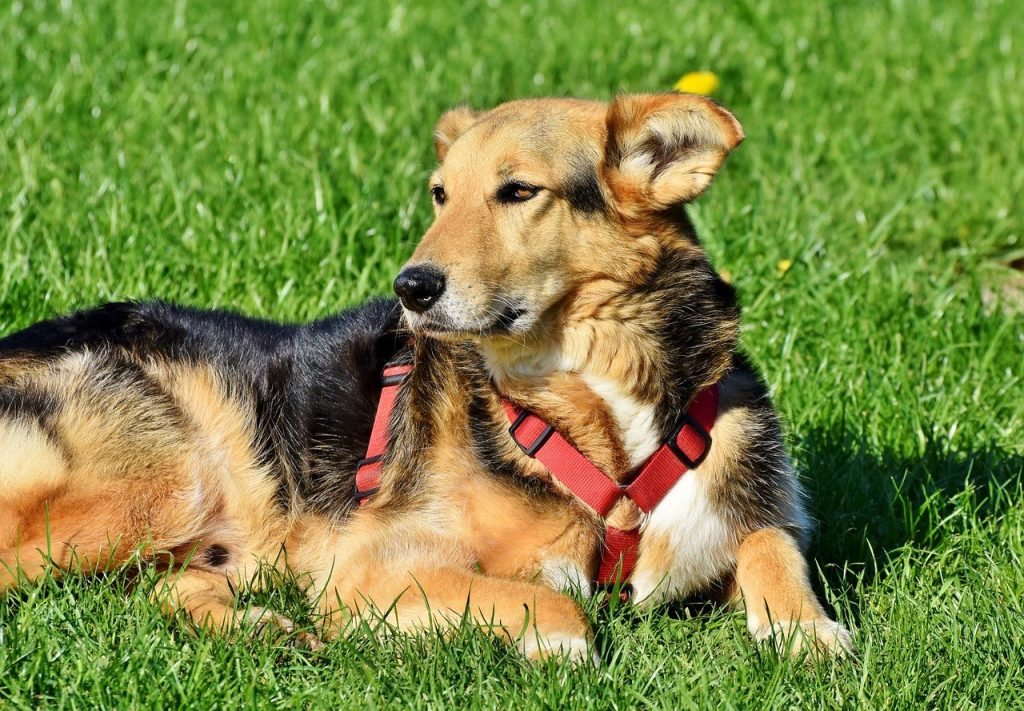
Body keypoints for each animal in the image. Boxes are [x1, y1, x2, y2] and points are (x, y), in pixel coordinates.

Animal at [0, 93, 851, 663]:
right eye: (441, 194)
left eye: (519, 191)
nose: (410, 287)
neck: (596, 401)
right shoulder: (370, 564)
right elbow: (555, 601)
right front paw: (556, 643)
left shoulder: (743, 489)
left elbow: (770, 542)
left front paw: (805, 628)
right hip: (160, 478)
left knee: (165, 588)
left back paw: (261, 629)